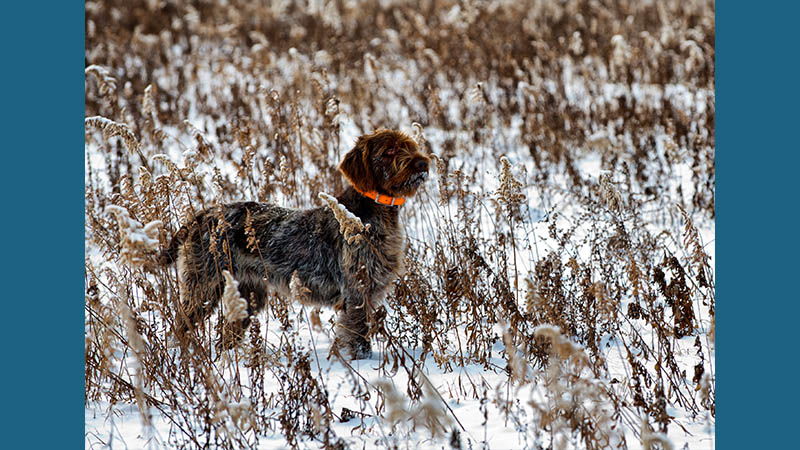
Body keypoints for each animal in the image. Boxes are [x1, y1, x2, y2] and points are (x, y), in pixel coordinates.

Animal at [158, 129, 432, 358]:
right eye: (389, 151)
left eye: (409, 146)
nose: (423, 162)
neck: (374, 213)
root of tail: (202, 216)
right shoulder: (357, 294)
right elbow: (357, 338)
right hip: (203, 287)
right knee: (180, 328)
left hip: (247, 295)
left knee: (227, 334)